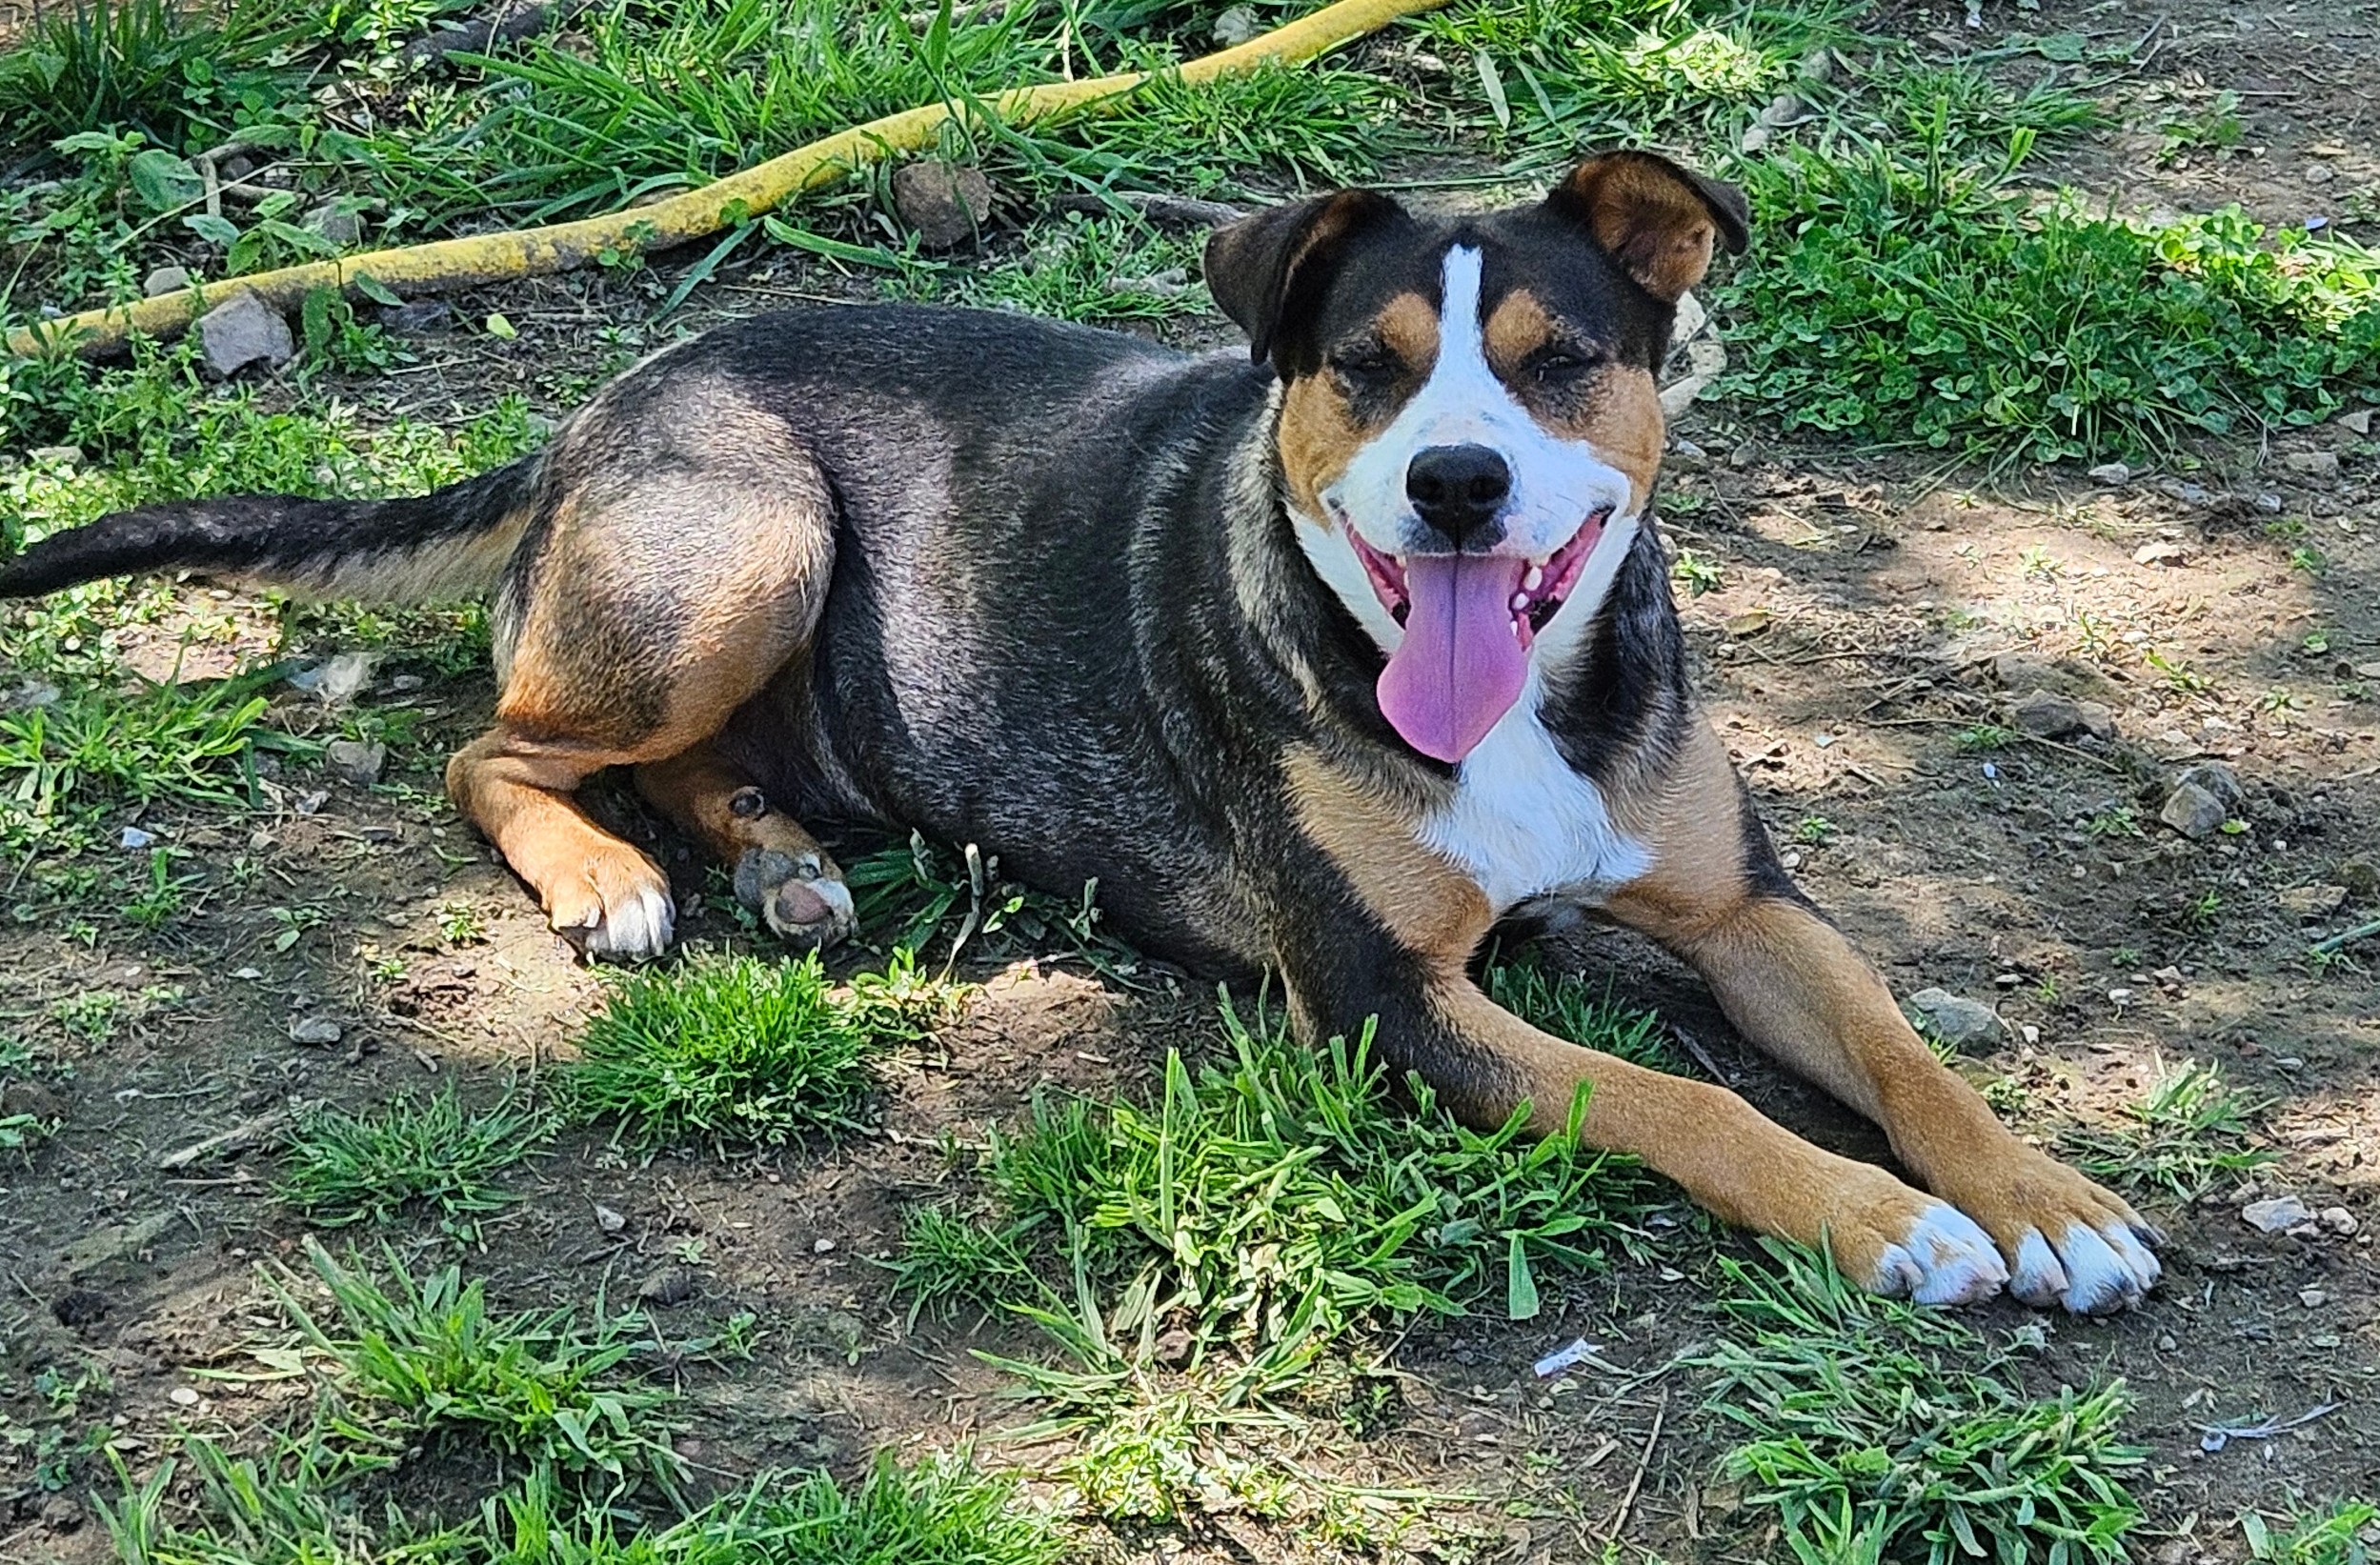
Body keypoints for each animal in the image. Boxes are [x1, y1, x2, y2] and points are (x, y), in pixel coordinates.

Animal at [0, 155, 2161, 1303]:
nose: (1456, 483)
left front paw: (2046, 1200)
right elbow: (1684, 1099)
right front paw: (1888, 1224)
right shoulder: (1387, 1000)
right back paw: (613, 876)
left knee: (682, 761)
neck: (1516, 705)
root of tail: (607, 398)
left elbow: (1900, 1047)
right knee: (499, 746)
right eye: (1364, 366)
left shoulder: (1741, 906)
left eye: (1559, 361)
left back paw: (782, 864)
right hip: (745, 537)